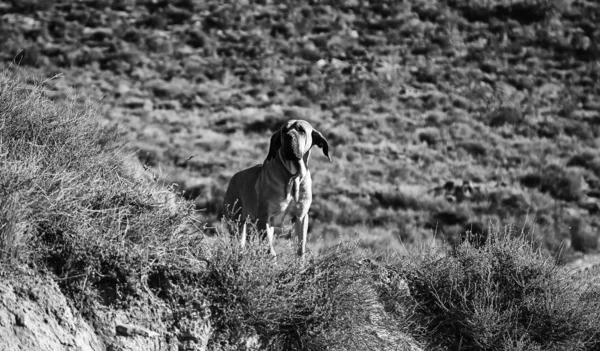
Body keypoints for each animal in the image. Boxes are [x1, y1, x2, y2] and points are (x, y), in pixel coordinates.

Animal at [223, 120, 330, 258]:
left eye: (301, 130)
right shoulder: (264, 218)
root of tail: (233, 178)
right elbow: (270, 249)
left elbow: (301, 248)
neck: (293, 176)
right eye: (284, 130)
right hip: (236, 223)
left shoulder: (301, 217)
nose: (288, 136)